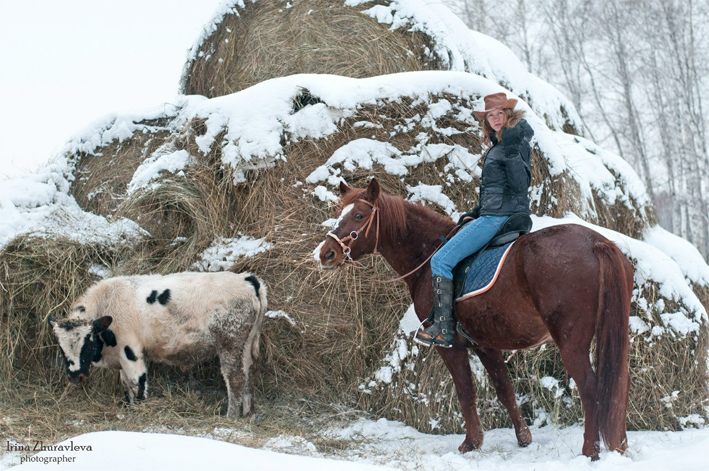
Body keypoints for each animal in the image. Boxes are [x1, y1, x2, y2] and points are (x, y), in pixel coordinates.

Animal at [47, 272, 268, 418]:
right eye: (61, 347)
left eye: (88, 342)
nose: (75, 376)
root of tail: (247, 279)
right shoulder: (121, 358)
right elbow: (126, 386)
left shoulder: (131, 352)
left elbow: (137, 384)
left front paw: (140, 411)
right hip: (244, 346)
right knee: (247, 373)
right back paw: (248, 413)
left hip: (229, 343)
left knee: (235, 378)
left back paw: (231, 416)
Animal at [316, 179, 632, 460]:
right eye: (340, 213)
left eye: (359, 215)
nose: (326, 253)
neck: (428, 254)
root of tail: (595, 241)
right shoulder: (485, 344)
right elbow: (505, 391)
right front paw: (523, 439)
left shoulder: (450, 346)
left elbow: (465, 391)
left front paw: (471, 443)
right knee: (616, 389)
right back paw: (618, 447)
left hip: (571, 343)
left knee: (591, 389)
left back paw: (590, 452)